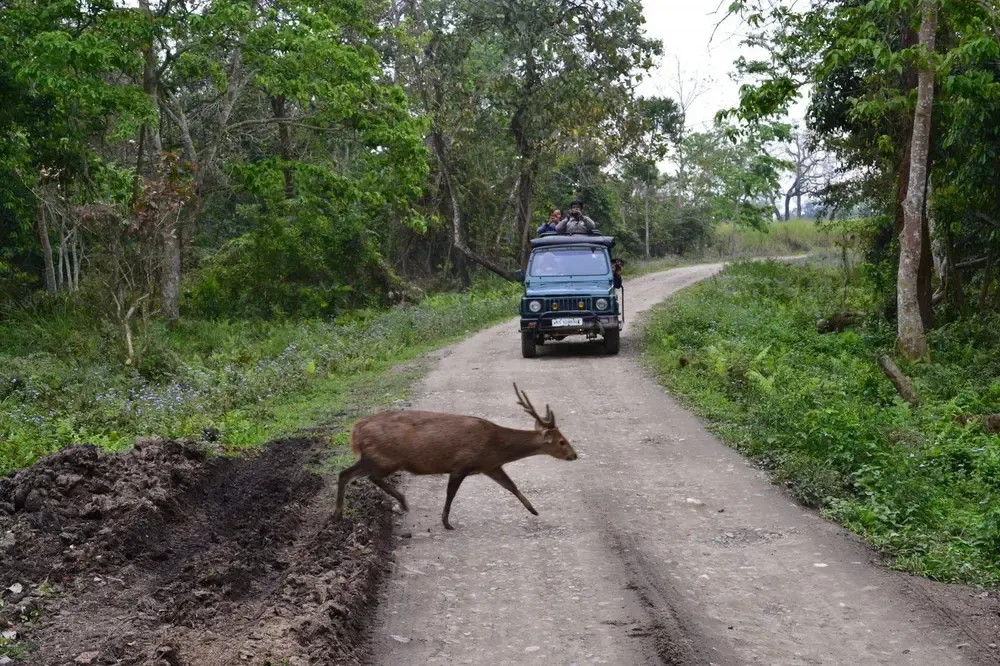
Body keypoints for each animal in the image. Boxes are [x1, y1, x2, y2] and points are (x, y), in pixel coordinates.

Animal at [334, 383, 577, 530]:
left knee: (349, 474)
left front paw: (533, 510)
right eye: (562, 441)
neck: (494, 444)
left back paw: (343, 513)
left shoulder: (490, 465)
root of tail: (355, 430)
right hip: (384, 457)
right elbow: (451, 494)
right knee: (355, 474)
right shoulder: (463, 463)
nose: (574, 455)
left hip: (375, 457)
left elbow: (511, 486)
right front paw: (446, 522)